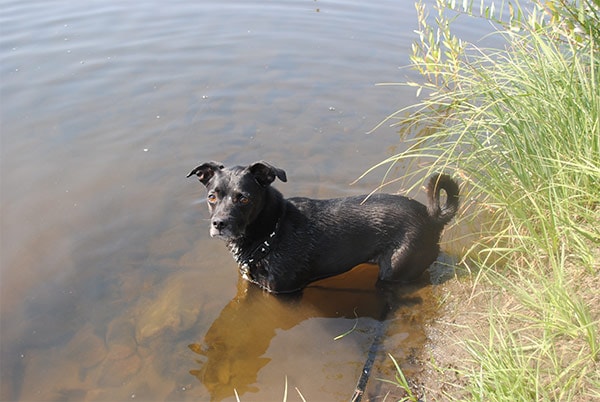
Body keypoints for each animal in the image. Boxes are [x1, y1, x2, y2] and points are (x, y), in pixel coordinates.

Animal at [188, 162, 460, 294]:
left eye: (244, 199)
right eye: (212, 196)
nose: (219, 224)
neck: (271, 234)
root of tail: (432, 218)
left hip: (396, 271)